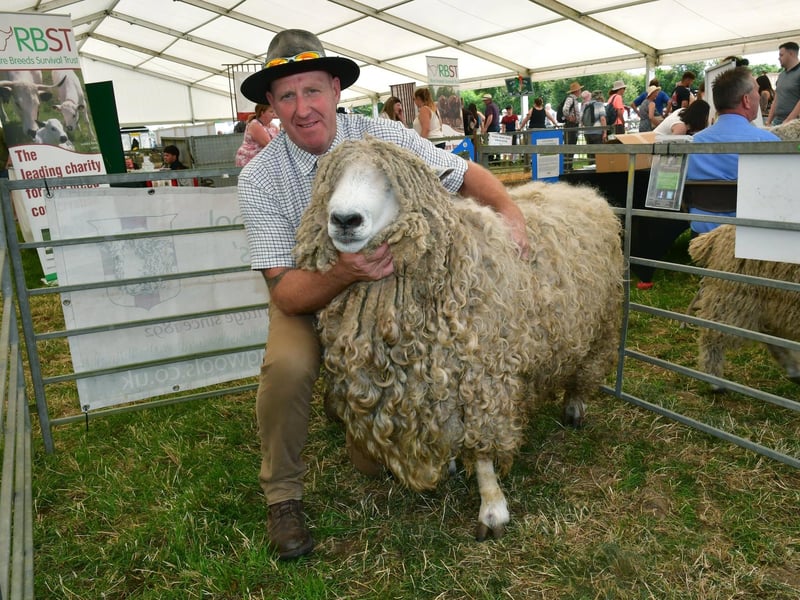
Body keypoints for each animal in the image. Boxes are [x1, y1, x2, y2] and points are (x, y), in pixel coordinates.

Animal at [294, 137, 624, 540]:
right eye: (330, 182)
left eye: (393, 184)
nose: (344, 220)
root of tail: (577, 190)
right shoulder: (434, 383)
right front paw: (451, 463)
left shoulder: (481, 377)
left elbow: (482, 450)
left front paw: (492, 507)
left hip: (603, 322)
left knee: (585, 370)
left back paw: (575, 408)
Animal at [688, 224, 800, 389]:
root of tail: (718, 232)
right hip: (736, 296)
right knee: (712, 335)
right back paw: (715, 382)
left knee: (772, 336)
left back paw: (795, 371)